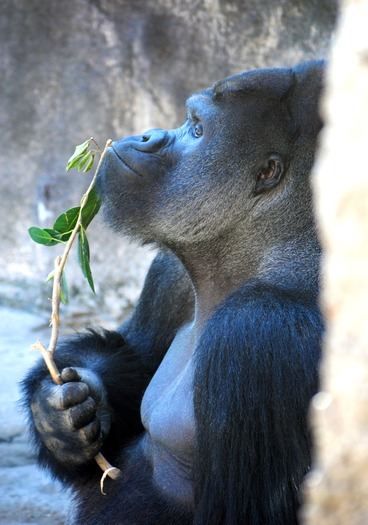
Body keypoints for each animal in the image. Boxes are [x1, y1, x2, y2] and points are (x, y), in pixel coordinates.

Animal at [21, 62, 324, 524]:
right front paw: (58, 419)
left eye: (197, 129)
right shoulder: (173, 269)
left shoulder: (259, 331)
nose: (148, 135)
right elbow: (134, 354)